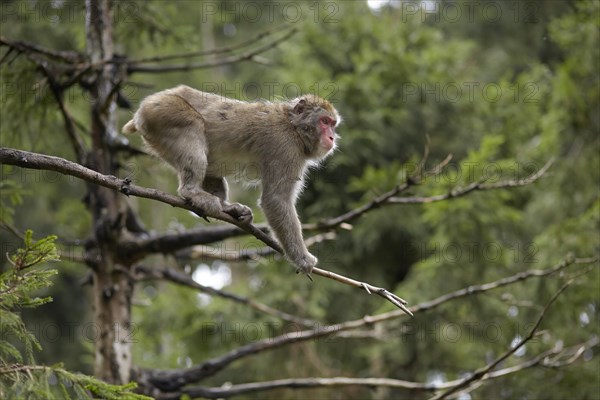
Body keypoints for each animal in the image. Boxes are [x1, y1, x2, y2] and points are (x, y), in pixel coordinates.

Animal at [122, 84, 340, 272]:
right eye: (324, 122)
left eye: (333, 124)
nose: (332, 138)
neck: (293, 126)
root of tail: (144, 107)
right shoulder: (285, 147)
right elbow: (276, 200)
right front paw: (301, 258)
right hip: (164, 111)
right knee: (193, 125)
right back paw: (192, 192)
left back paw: (226, 207)